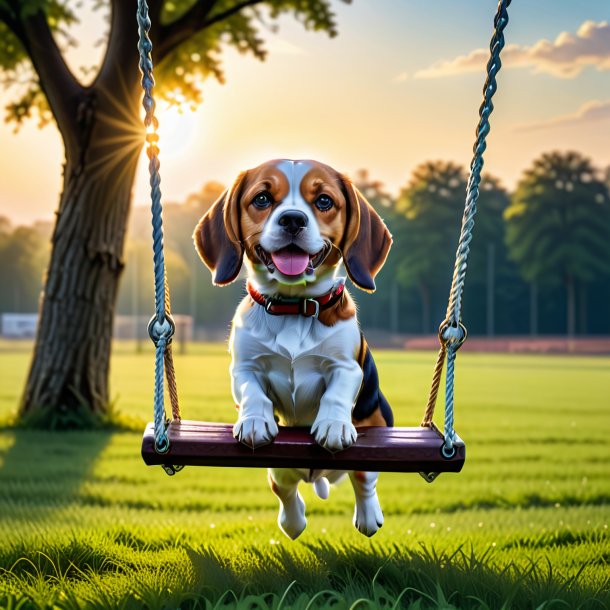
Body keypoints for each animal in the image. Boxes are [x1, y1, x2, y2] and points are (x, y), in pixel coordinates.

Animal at [196, 158, 394, 536]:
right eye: (261, 198)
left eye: (324, 201)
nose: (292, 219)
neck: (293, 308)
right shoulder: (243, 367)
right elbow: (253, 392)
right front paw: (254, 422)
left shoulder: (347, 367)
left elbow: (336, 394)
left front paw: (333, 426)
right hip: (282, 467)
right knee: (284, 486)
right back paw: (293, 521)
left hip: (376, 419)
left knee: (364, 477)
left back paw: (368, 515)